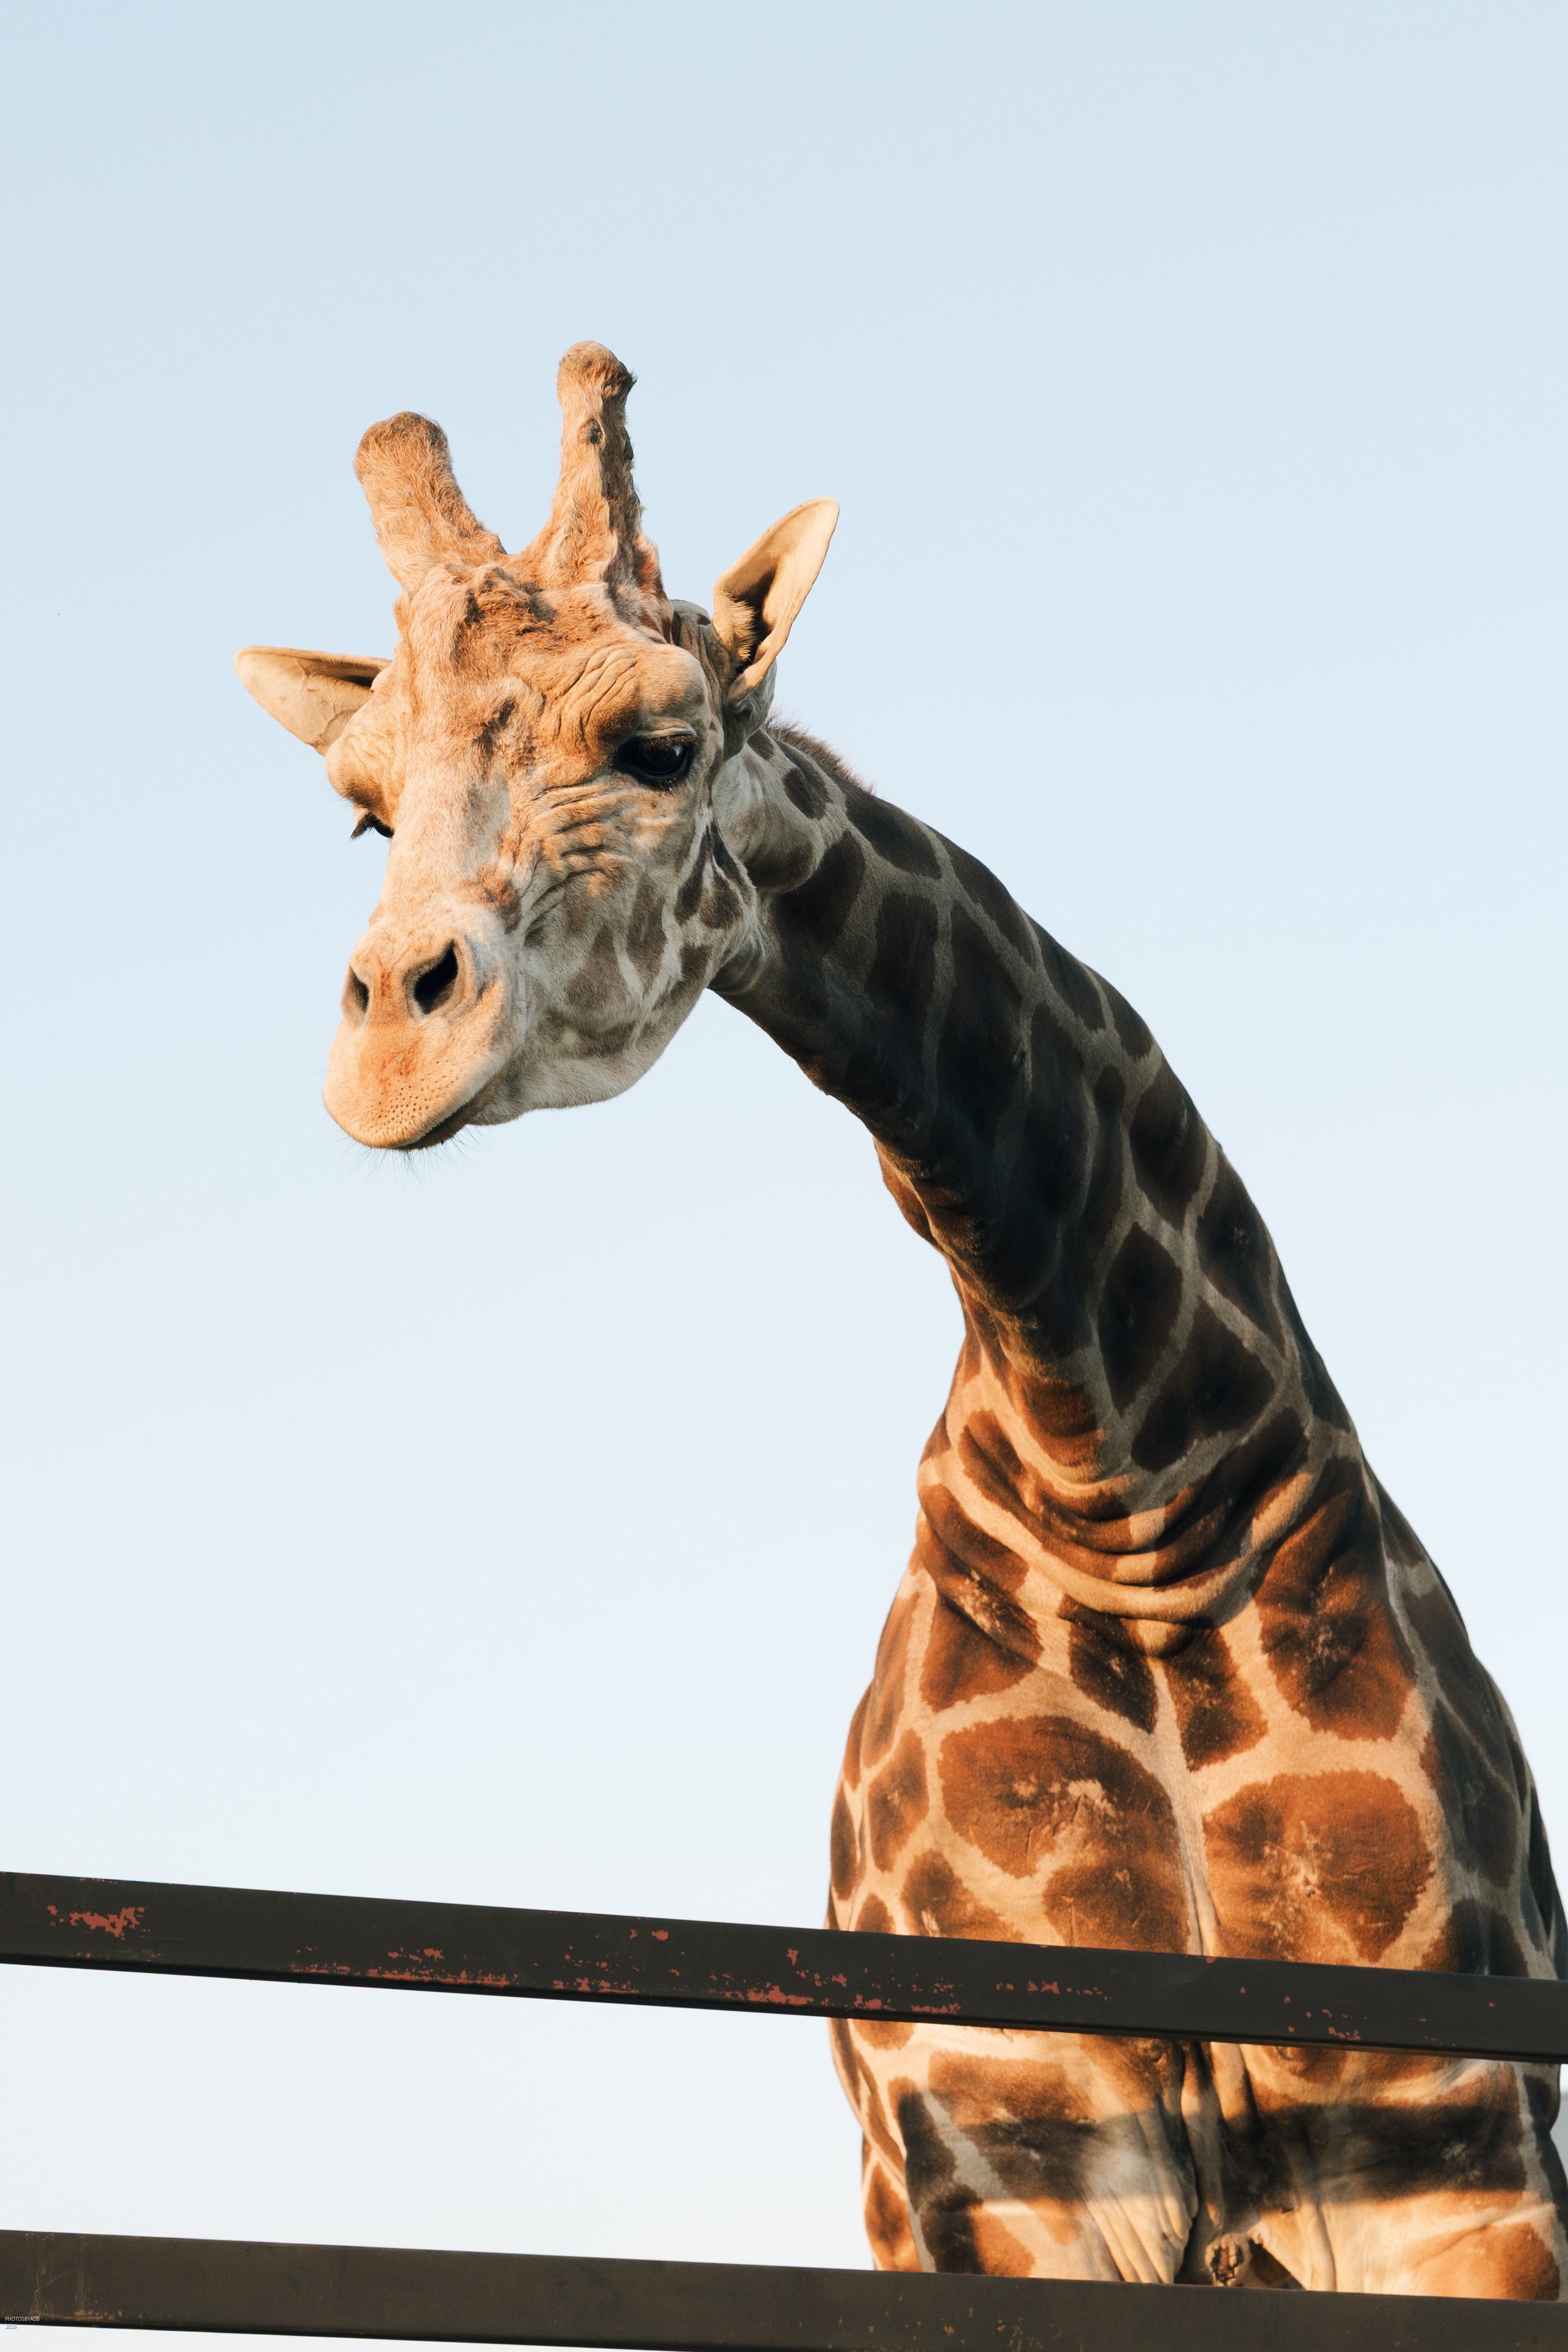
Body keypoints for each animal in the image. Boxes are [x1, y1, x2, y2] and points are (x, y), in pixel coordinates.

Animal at [238, 343, 1568, 2301]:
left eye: (661, 744)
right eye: (362, 807)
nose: (386, 1056)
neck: (1127, 1491)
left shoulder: (1454, 2157)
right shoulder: (1001, 2166)